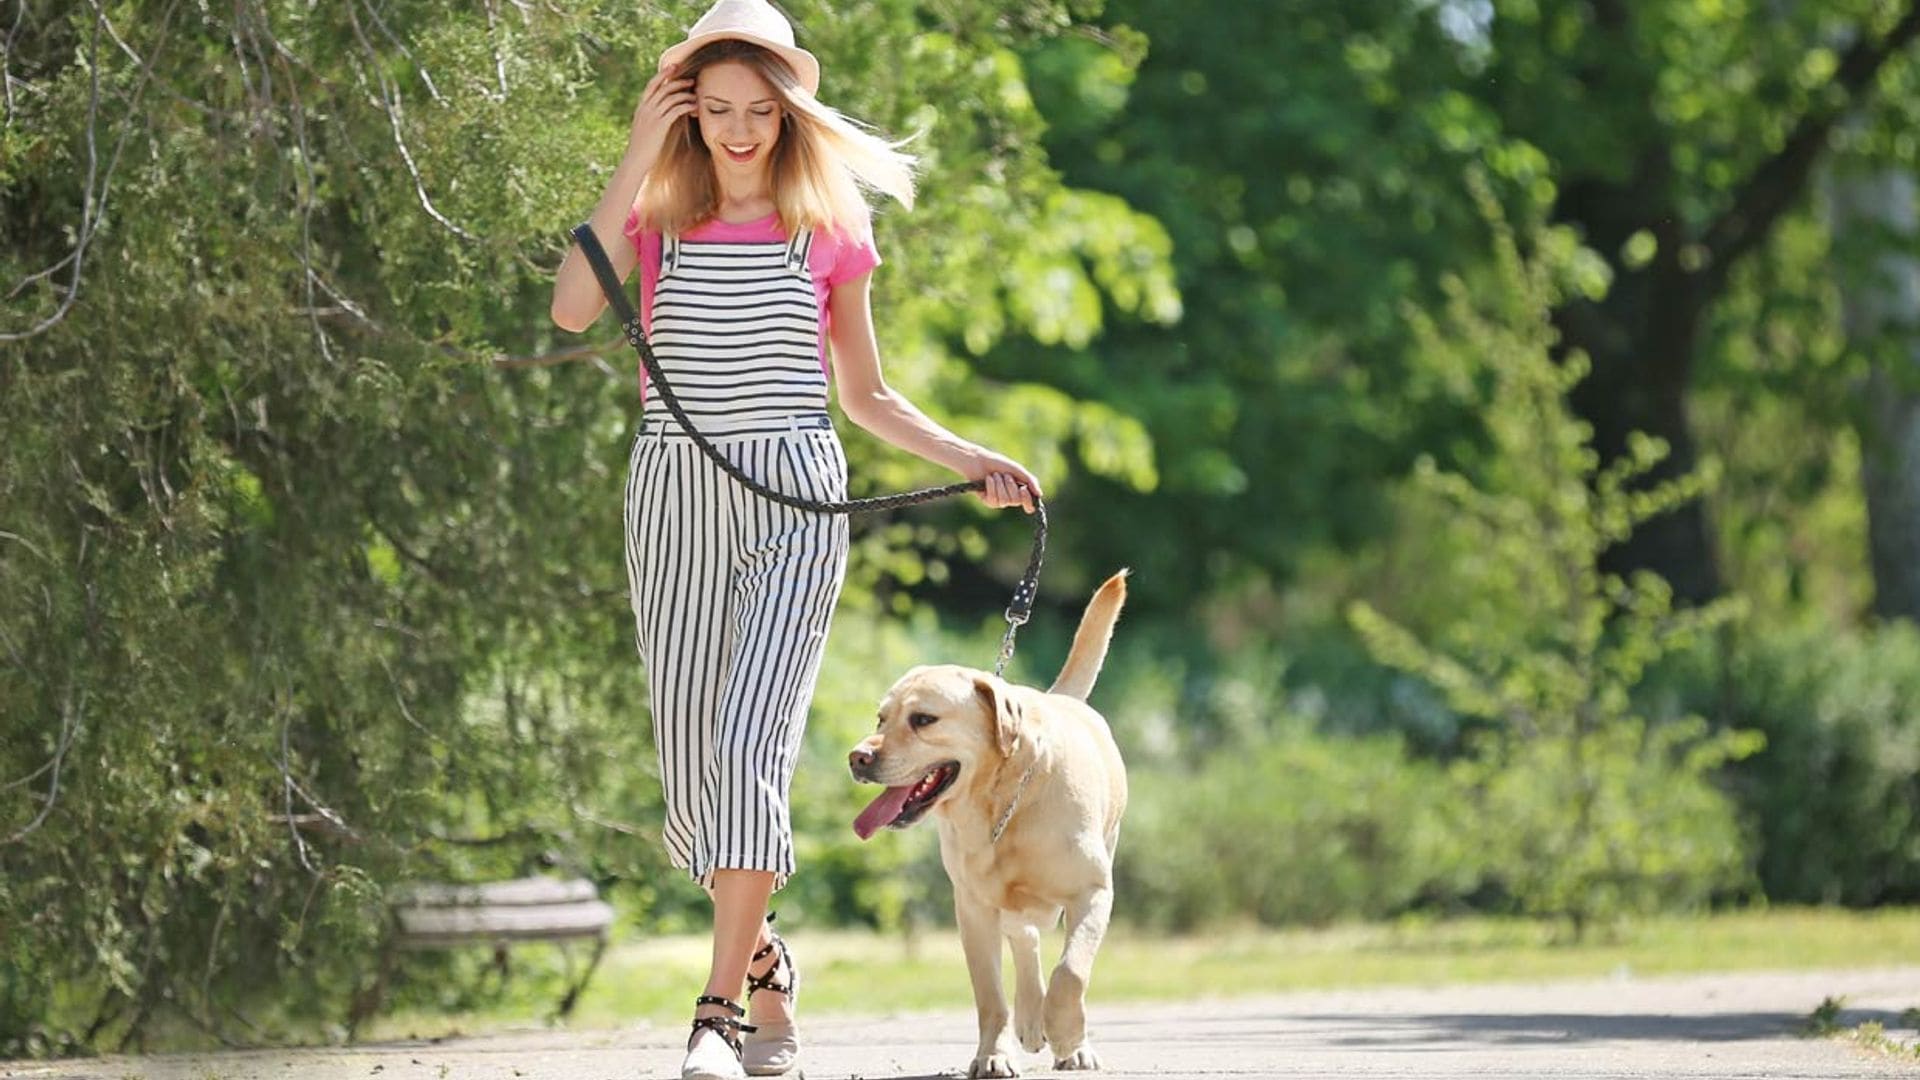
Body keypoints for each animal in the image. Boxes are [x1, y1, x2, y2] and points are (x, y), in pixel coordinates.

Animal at [848, 568, 1128, 1068]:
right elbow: (989, 995)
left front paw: (1069, 1041)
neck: (1001, 806)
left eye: (923, 719)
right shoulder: (973, 909)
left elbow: (1071, 972)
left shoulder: (1092, 892)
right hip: (1005, 905)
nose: (857, 758)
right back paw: (1030, 1020)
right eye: (881, 718)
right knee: (1025, 939)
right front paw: (994, 1055)